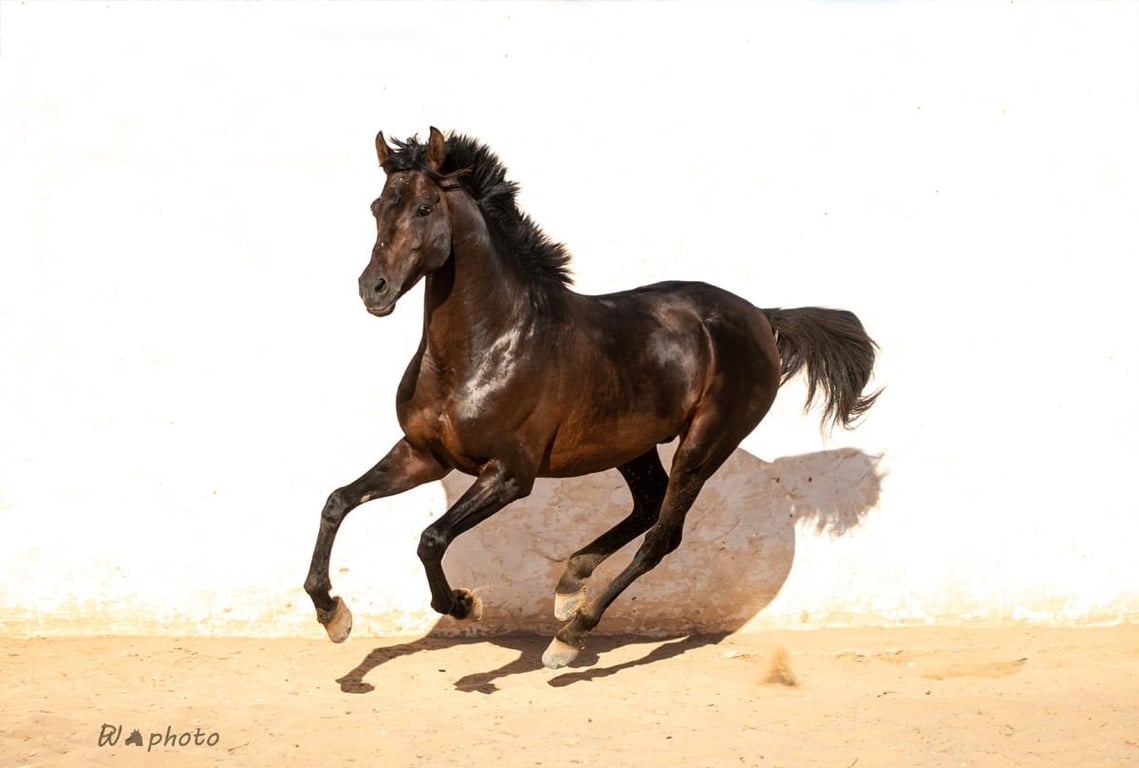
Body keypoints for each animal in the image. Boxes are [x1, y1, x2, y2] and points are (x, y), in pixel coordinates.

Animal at [305, 125, 879, 665]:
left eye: (424, 208)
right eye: (377, 207)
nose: (373, 289)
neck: (487, 344)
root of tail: (761, 315)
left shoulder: (510, 474)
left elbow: (432, 539)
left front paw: (465, 604)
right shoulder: (425, 454)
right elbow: (338, 501)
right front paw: (333, 614)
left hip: (705, 444)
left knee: (662, 536)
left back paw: (569, 635)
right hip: (630, 444)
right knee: (648, 504)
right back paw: (569, 586)